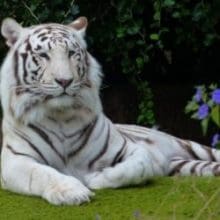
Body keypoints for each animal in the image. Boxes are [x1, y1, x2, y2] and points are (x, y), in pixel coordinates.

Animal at [0, 16, 220, 205]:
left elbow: (138, 166)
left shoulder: (130, 148)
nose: (65, 81)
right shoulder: (14, 160)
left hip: (191, 147)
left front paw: (95, 178)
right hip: (185, 165)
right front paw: (73, 192)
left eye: (71, 53)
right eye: (43, 55)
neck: (61, 115)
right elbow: (43, 173)